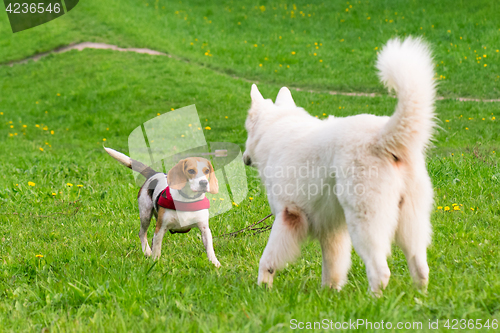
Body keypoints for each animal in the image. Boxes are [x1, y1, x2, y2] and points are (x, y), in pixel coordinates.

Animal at [244, 37, 436, 294]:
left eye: (247, 131)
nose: (245, 157)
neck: (276, 127)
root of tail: (383, 138)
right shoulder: (332, 229)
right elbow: (333, 265)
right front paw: (329, 292)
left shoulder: (288, 217)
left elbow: (268, 258)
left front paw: (263, 285)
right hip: (410, 221)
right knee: (420, 267)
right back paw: (418, 297)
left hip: (365, 222)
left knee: (381, 270)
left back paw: (372, 298)